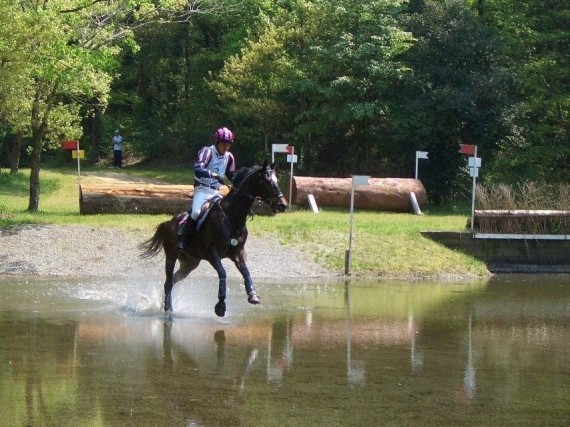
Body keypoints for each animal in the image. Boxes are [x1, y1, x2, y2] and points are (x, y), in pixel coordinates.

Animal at [138, 160, 288, 318]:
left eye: (277, 180)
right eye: (267, 181)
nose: (282, 205)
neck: (231, 216)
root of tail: (169, 222)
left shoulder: (238, 252)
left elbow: (246, 271)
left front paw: (253, 295)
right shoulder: (212, 254)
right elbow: (223, 273)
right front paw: (220, 306)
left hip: (190, 263)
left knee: (173, 280)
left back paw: (164, 304)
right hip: (171, 256)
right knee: (168, 281)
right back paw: (168, 309)